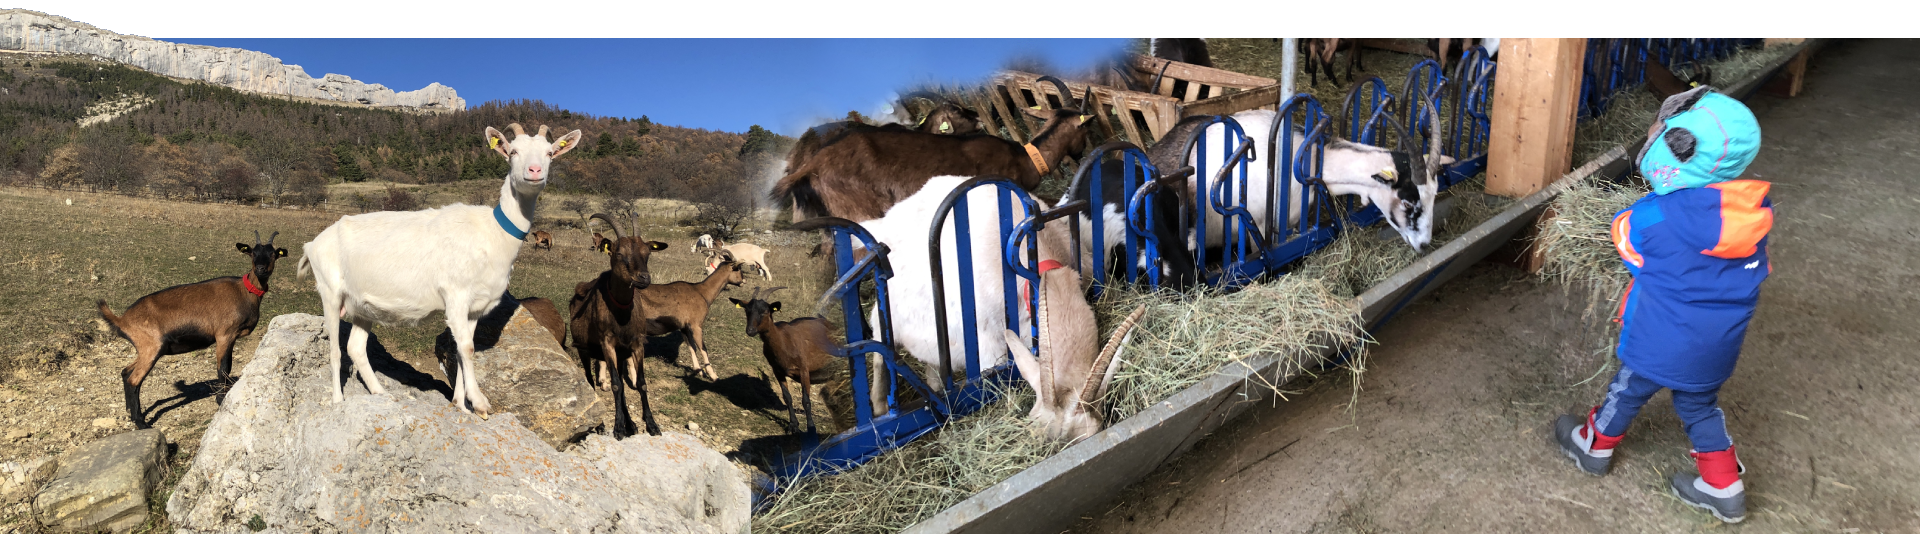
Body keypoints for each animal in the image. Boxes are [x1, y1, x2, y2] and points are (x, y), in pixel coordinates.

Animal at [98, 230, 288, 430]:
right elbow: (223, 368)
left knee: (125, 372)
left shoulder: (232, 338)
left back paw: (129, 411)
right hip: (151, 347)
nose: (261, 269)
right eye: (253, 253)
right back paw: (141, 422)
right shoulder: (224, 335)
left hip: (147, 349)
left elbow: (228, 367)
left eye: (273, 254)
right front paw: (220, 400)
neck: (244, 291)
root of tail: (121, 320)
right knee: (134, 380)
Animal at [299, 122, 579, 418]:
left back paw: (381, 393)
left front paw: (461, 405)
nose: (534, 171)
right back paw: (338, 401)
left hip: (362, 305)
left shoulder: (474, 306)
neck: (492, 234)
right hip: (329, 291)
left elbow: (461, 349)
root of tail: (312, 244)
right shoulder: (455, 293)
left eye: (549, 153)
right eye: (513, 151)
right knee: (335, 351)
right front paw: (480, 403)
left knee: (355, 347)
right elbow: (467, 348)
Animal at [564, 213, 672, 437]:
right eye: (619, 253)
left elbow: (640, 384)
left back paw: (631, 423)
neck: (621, 314)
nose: (644, 278)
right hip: (584, 350)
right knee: (590, 380)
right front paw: (618, 427)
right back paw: (602, 425)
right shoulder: (607, 343)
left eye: (647, 252)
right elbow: (614, 384)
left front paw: (651, 425)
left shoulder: (636, 344)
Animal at [725, 288, 833, 434]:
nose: (750, 331)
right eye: (747, 310)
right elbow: (787, 398)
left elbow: (806, 400)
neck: (783, 340)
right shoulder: (777, 371)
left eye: (765, 311)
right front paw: (793, 426)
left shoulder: (804, 369)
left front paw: (811, 428)